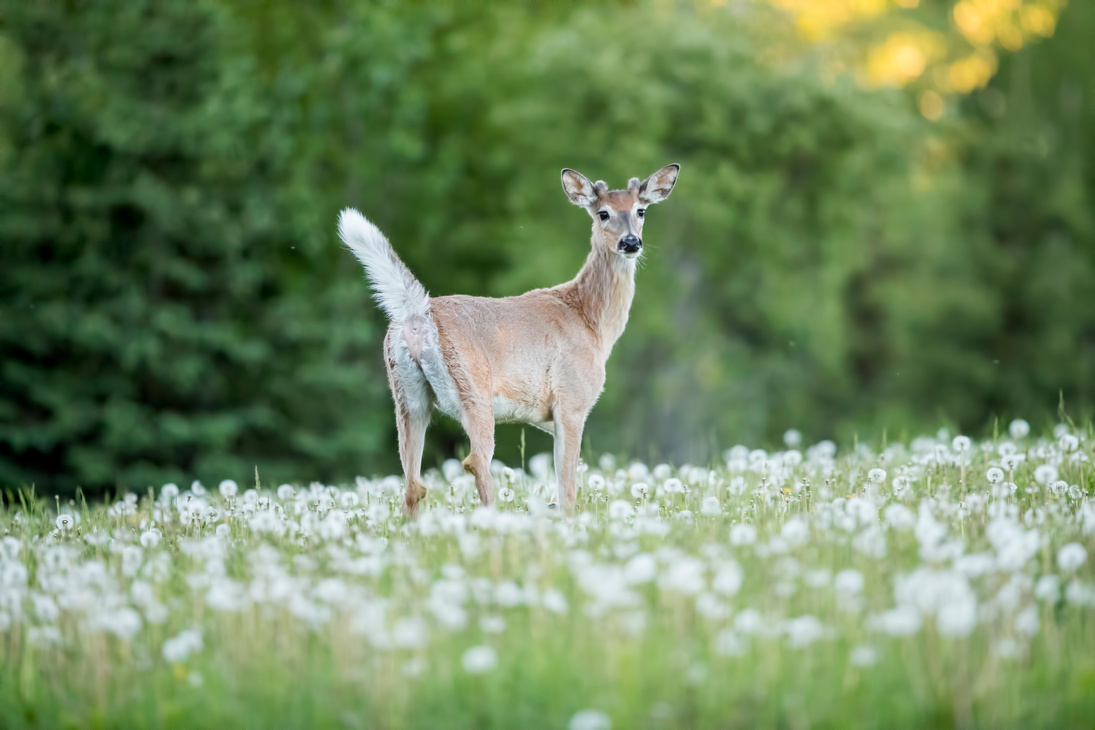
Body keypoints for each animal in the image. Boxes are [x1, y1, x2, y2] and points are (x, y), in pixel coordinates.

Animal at [337, 165, 678, 518]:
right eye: (603, 213)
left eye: (641, 210)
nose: (630, 242)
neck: (592, 321)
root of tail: (418, 313)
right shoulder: (572, 401)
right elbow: (568, 488)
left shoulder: (546, 417)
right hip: (474, 391)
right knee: (475, 463)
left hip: (408, 397)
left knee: (412, 484)